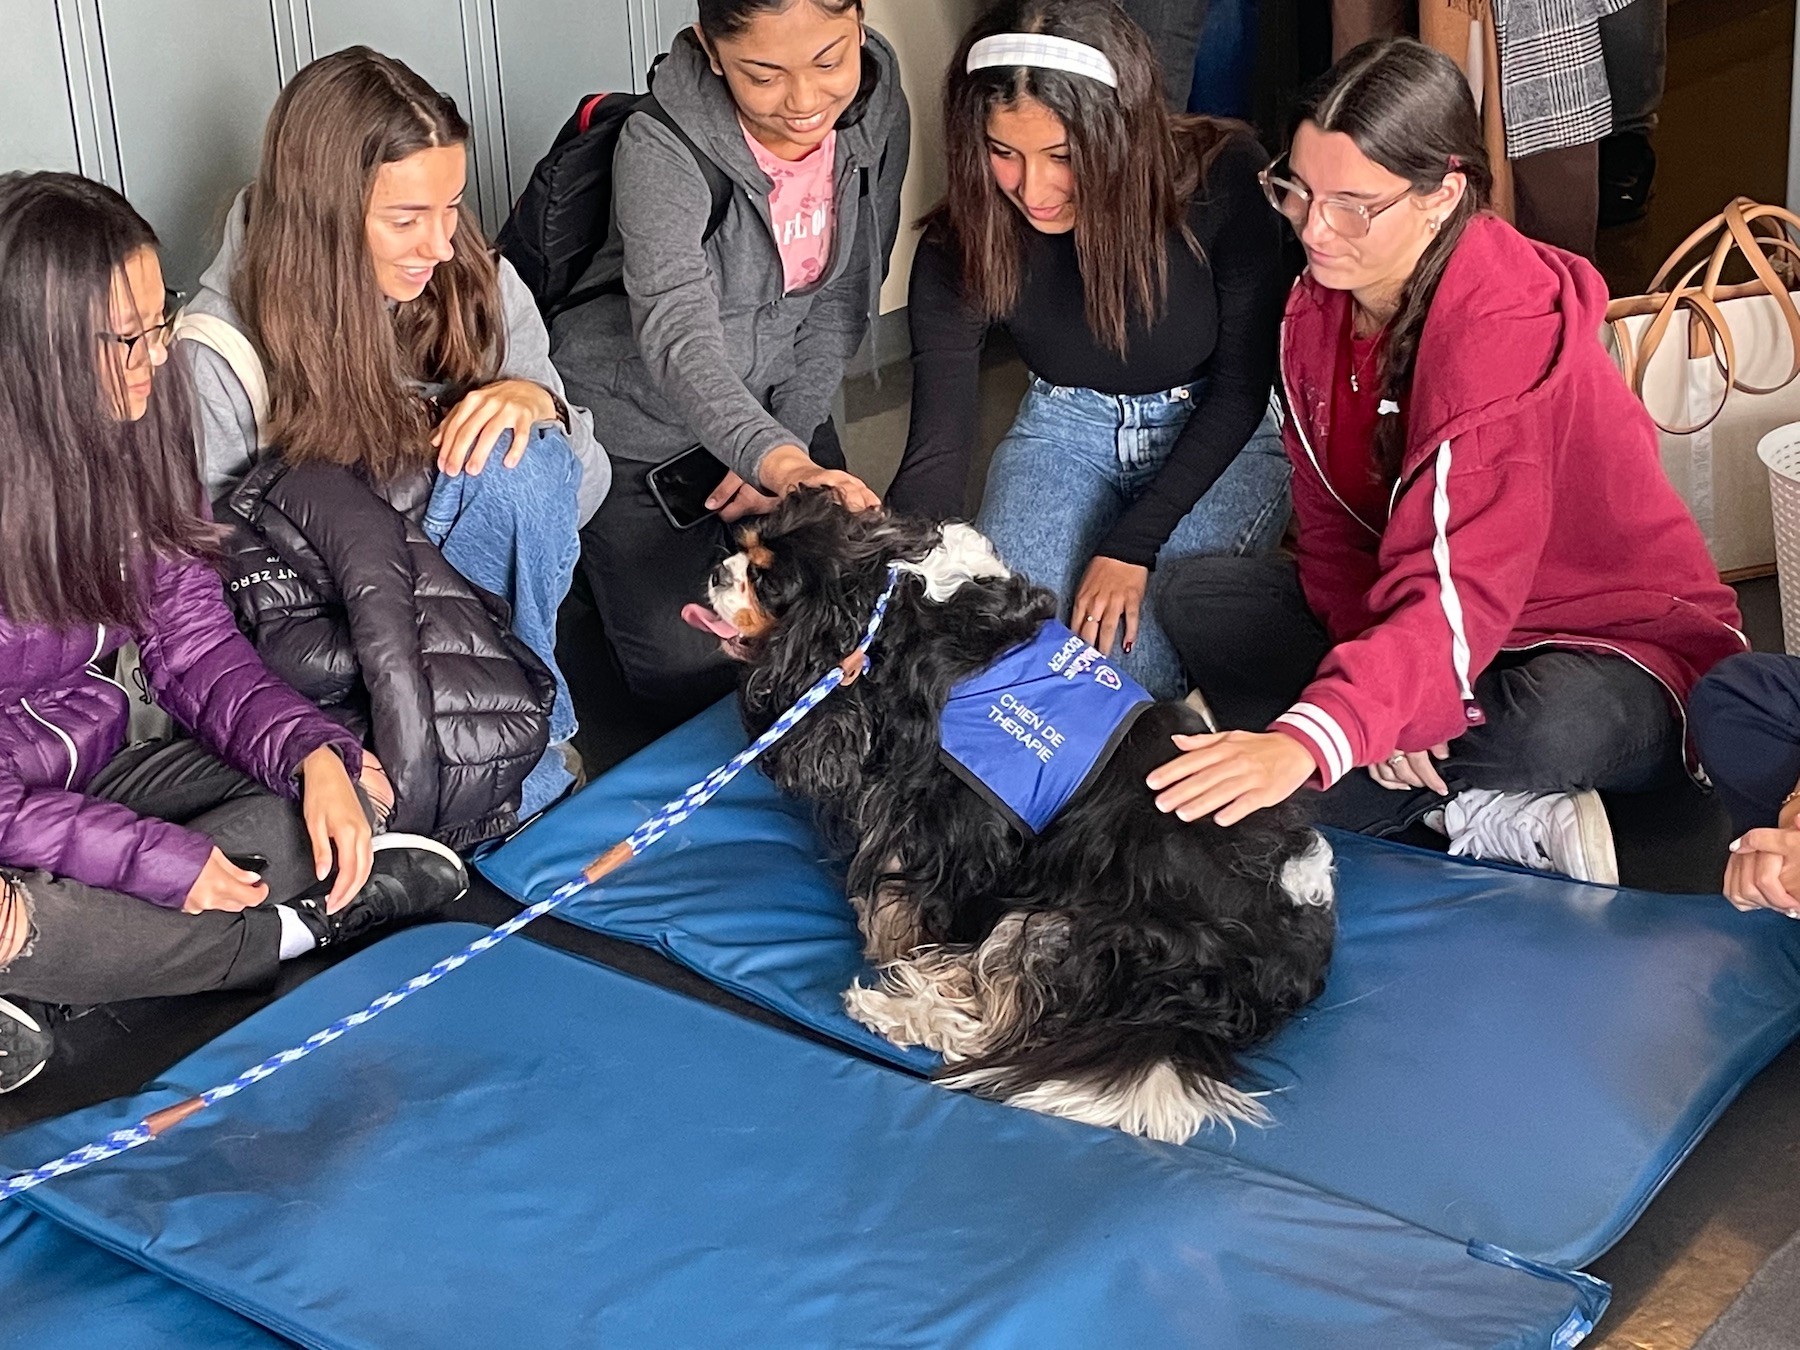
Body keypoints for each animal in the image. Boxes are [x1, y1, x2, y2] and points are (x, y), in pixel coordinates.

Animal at [680, 493, 1332, 1144]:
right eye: (743, 547)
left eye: (767, 582)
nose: (716, 573)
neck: (896, 598)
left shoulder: (958, 817)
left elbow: (905, 900)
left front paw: (888, 942)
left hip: (1074, 927)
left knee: (993, 1026)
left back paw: (891, 1008)